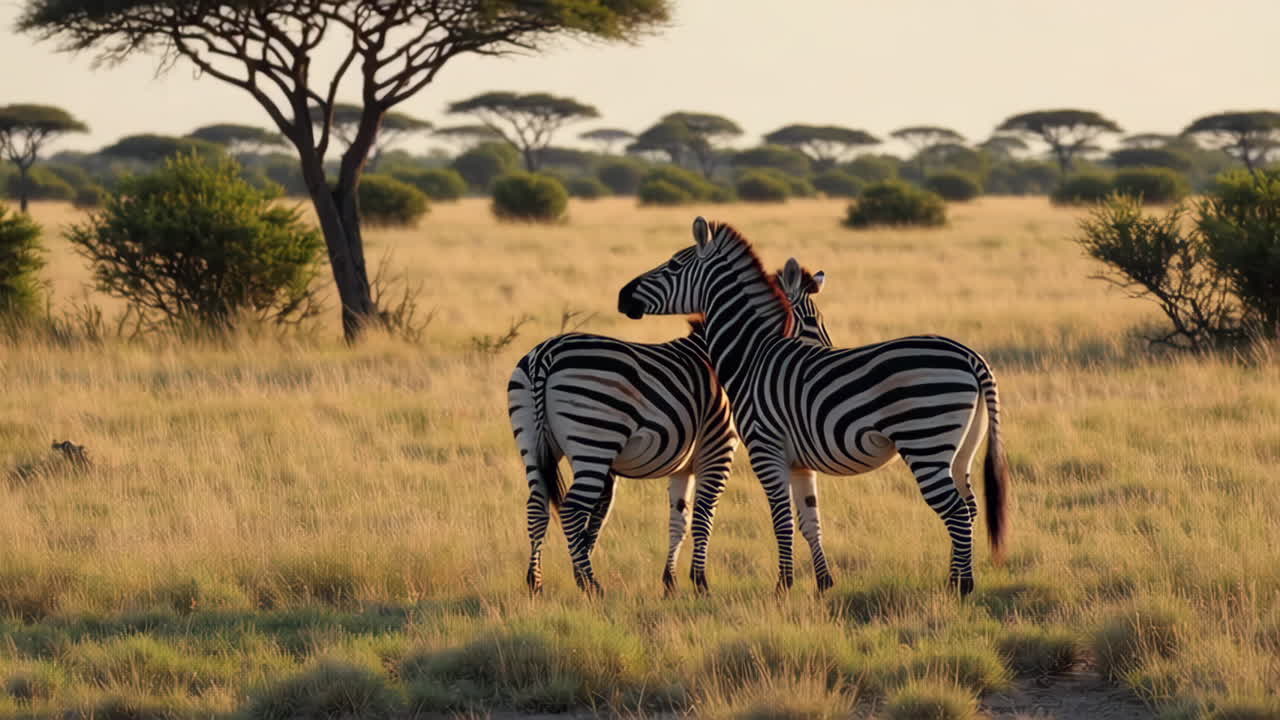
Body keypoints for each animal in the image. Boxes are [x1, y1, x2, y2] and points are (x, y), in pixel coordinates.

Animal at [508, 260, 831, 596]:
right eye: (811, 320)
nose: (827, 357)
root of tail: (545, 355)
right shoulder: (719, 448)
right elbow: (703, 516)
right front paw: (700, 583)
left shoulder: (683, 464)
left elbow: (679, 519)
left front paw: (670, 583)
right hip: (594, 441)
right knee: (571, 510)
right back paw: (592, 585)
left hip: (531, 440)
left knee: (537, 507)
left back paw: (536, 582)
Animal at [616, 217, 1010, 596]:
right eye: (812, 322)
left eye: (672, 265)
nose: (622, 297)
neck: (752, 355)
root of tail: (970, 356)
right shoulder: (799, 462)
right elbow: (809, 520)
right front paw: (822, 584)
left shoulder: (766, 448)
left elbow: (782, 520)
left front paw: (783, 588)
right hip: (960, 447)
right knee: (970, 506)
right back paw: (954, 581)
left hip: (925, 438)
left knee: (956, 512)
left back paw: (962, 588)